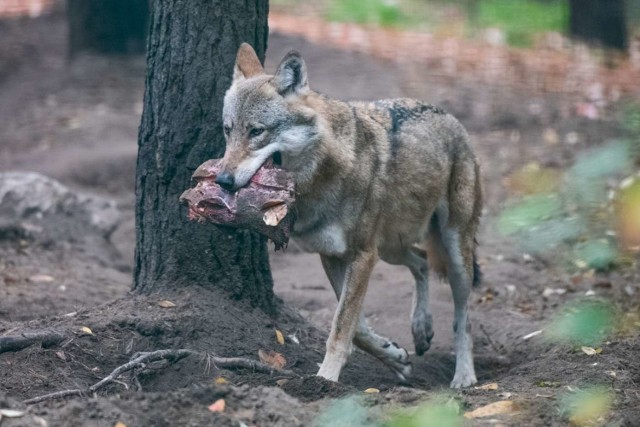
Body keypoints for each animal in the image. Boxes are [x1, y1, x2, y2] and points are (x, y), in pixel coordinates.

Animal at [218, 42, 482, 388]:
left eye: (256, 132)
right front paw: (395, 358)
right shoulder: (334, 255)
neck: (323, 175)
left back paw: (464, 375)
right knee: (422, 261)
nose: (222, 180)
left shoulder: (362, 255)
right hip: (390, 248)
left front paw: (326, 379)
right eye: (227, 131)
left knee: (464, 315)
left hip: (453, 253)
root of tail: (452, 118)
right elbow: (356, 327)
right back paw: (421, 329)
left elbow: (342, 326)